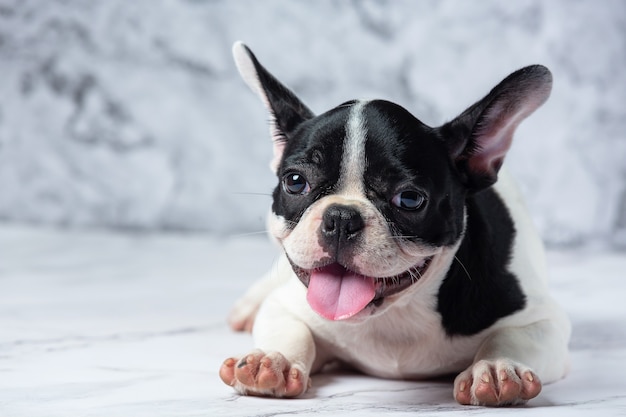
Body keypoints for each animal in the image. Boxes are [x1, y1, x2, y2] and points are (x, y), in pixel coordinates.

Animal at [219, 42, 572, 406]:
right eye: (295, 181)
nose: (341, 217)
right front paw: (272, 360)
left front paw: (497, 367)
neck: (395, 314)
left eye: (410, 199)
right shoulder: (286, 307)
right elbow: (289, 329)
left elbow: (512, 338)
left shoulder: (542, 320)